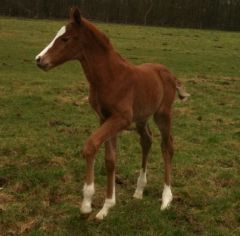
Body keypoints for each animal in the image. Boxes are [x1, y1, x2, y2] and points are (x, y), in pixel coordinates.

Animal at [35, 6, 189, 219]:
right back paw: (139, 190)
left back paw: (167, 198)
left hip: (163, 114)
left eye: (65, 38)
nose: (39, 60)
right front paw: (107, 206)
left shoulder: (120, 119)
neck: (110, 77)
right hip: (142, 118)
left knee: (167, 146)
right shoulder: (105, 119)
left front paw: (86, 204)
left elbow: (91, 145)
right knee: (147, 141)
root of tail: (170, 74)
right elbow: (110, 160)